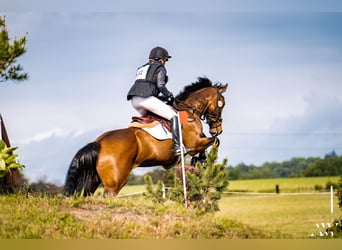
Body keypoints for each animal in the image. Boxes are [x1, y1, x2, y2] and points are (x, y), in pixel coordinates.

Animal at [63, 76, 227, 197]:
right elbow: (214, 141)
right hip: (114, 183)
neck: (189, 111)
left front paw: (201, 160)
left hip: (93, 180)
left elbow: (211, 142)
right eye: (222, 104)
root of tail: (99, 142)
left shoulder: (199, 141)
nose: (218, 129)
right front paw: (202, 159)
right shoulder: (195, 144)